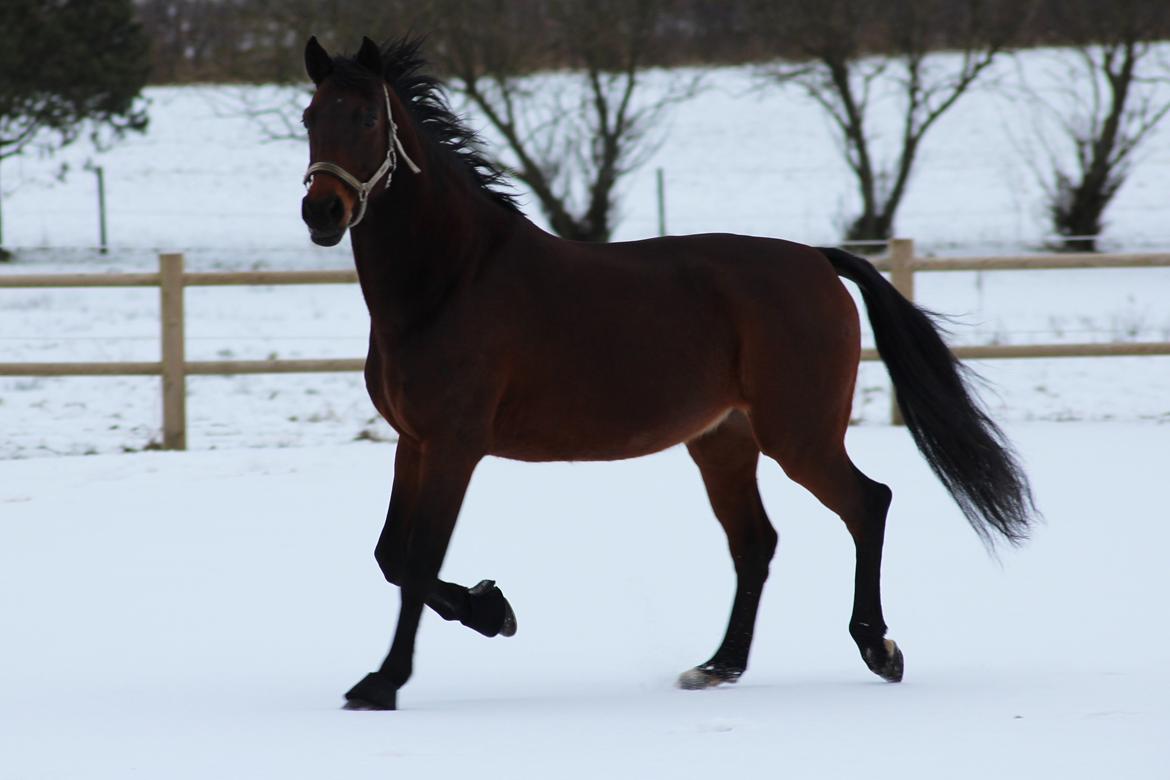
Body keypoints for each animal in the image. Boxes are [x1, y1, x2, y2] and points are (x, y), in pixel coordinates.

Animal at [299, 35, 1034, 715]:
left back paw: (878, 648)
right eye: (310, 116)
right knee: (756, 542)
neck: (453, 279)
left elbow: (419, 560)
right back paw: (717, 665)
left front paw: (385, 681)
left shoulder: (456, 443)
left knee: (867, 503)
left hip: (798, 436)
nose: (322, 213)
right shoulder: (414, 441)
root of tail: (819, 261)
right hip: (723, 441)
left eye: (367, 117)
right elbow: (393, 557)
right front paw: (491, 608)